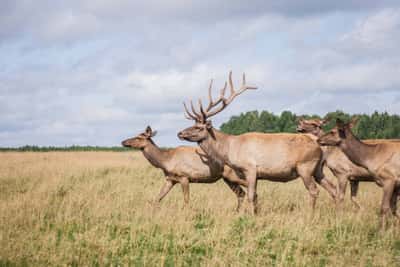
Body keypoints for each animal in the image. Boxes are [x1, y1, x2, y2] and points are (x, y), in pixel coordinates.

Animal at [178, 72, 338, 215]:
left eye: (199, 127)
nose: (180, 133)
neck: (230, 148)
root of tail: (318, 144)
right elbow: (254, 196)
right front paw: (255, 213)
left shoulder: (250, 168)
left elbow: (250, 196)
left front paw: (251, 217)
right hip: (318, 169)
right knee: (333, 188)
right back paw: (337, 212)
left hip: (305, 166)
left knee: (314, 190)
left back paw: (310, 215)